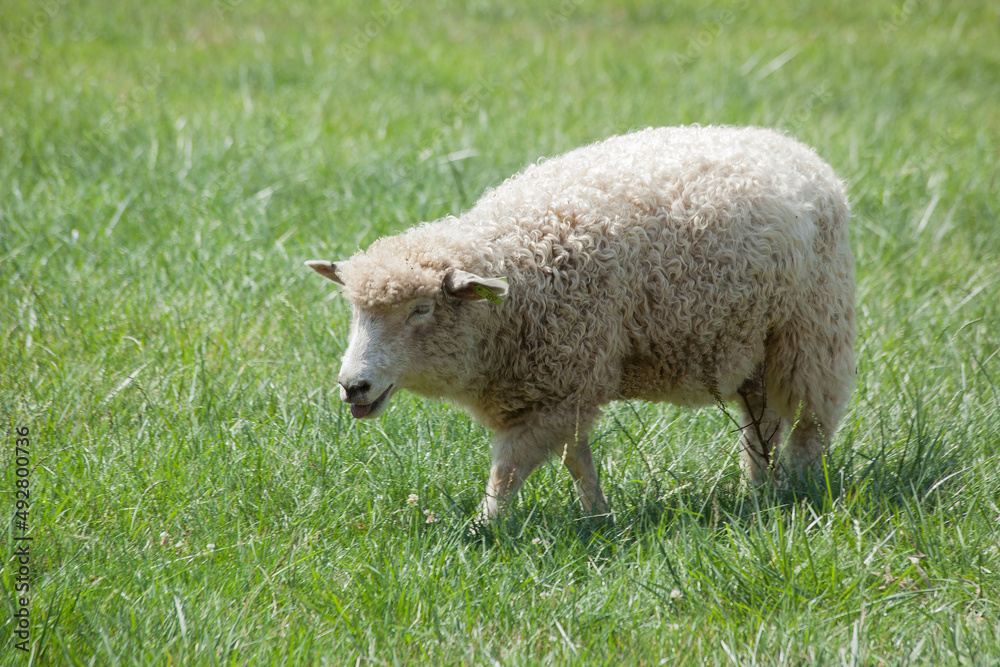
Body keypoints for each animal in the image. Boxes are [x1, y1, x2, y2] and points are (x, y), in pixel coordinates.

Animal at [308, 124, 856, 520]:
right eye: (355, 310)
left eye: (420, 309)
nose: (353, 386)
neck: (517, 270)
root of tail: (795, 148)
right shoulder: (559, 386)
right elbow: (577, 459)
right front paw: (597, 516)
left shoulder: (559, 383)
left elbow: (509, 468)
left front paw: (485, 526)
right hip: (752, 346)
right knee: (761, 423)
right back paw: (758, 489)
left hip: (812, 332)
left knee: (811, 423)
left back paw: (802, 490)